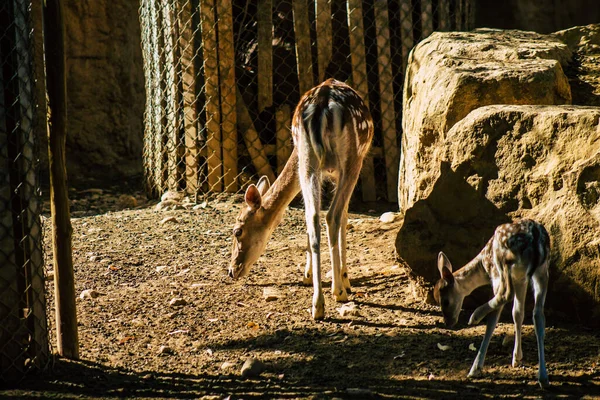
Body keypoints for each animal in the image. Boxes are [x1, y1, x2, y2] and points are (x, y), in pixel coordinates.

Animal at [229, 79, 372, 320]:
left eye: (237, 231)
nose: (231, 271)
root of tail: (323, 103)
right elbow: (344, 217)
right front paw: (345, 278)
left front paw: (307, 275)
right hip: (352, 160)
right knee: (332, 216)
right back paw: (338, 291)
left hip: (308, 159)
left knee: (313, 218)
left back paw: (318, 304)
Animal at [434, 219, 552, 388]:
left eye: (445, 301)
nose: (448, 322)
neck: (482, 266)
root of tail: (535, 237)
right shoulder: (521, 279)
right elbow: (518, 313)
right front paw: (516, 358)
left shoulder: (496, 276)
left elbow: (492, 322)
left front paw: (475, 368)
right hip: (542, 269)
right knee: (538, 314)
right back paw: (543, 377)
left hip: (503, 265)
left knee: (505, 293)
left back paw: (475, 316)